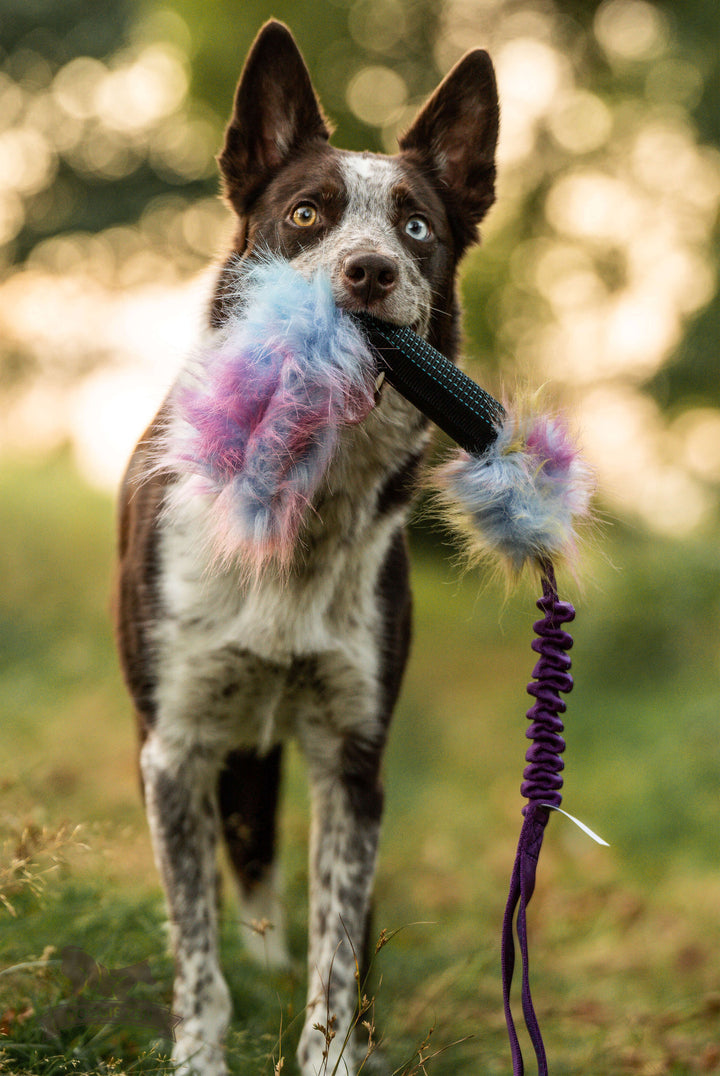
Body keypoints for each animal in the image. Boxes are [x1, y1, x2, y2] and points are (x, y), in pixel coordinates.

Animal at [116, 18, 499, 1076]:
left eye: (417, 229)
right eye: (305, 214)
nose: (368, 271)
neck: (298, 505)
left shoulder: (353, 757)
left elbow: (337, 945)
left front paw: (331, 1047)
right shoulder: (176, 746)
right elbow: (196, 954)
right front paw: (201, 1052)